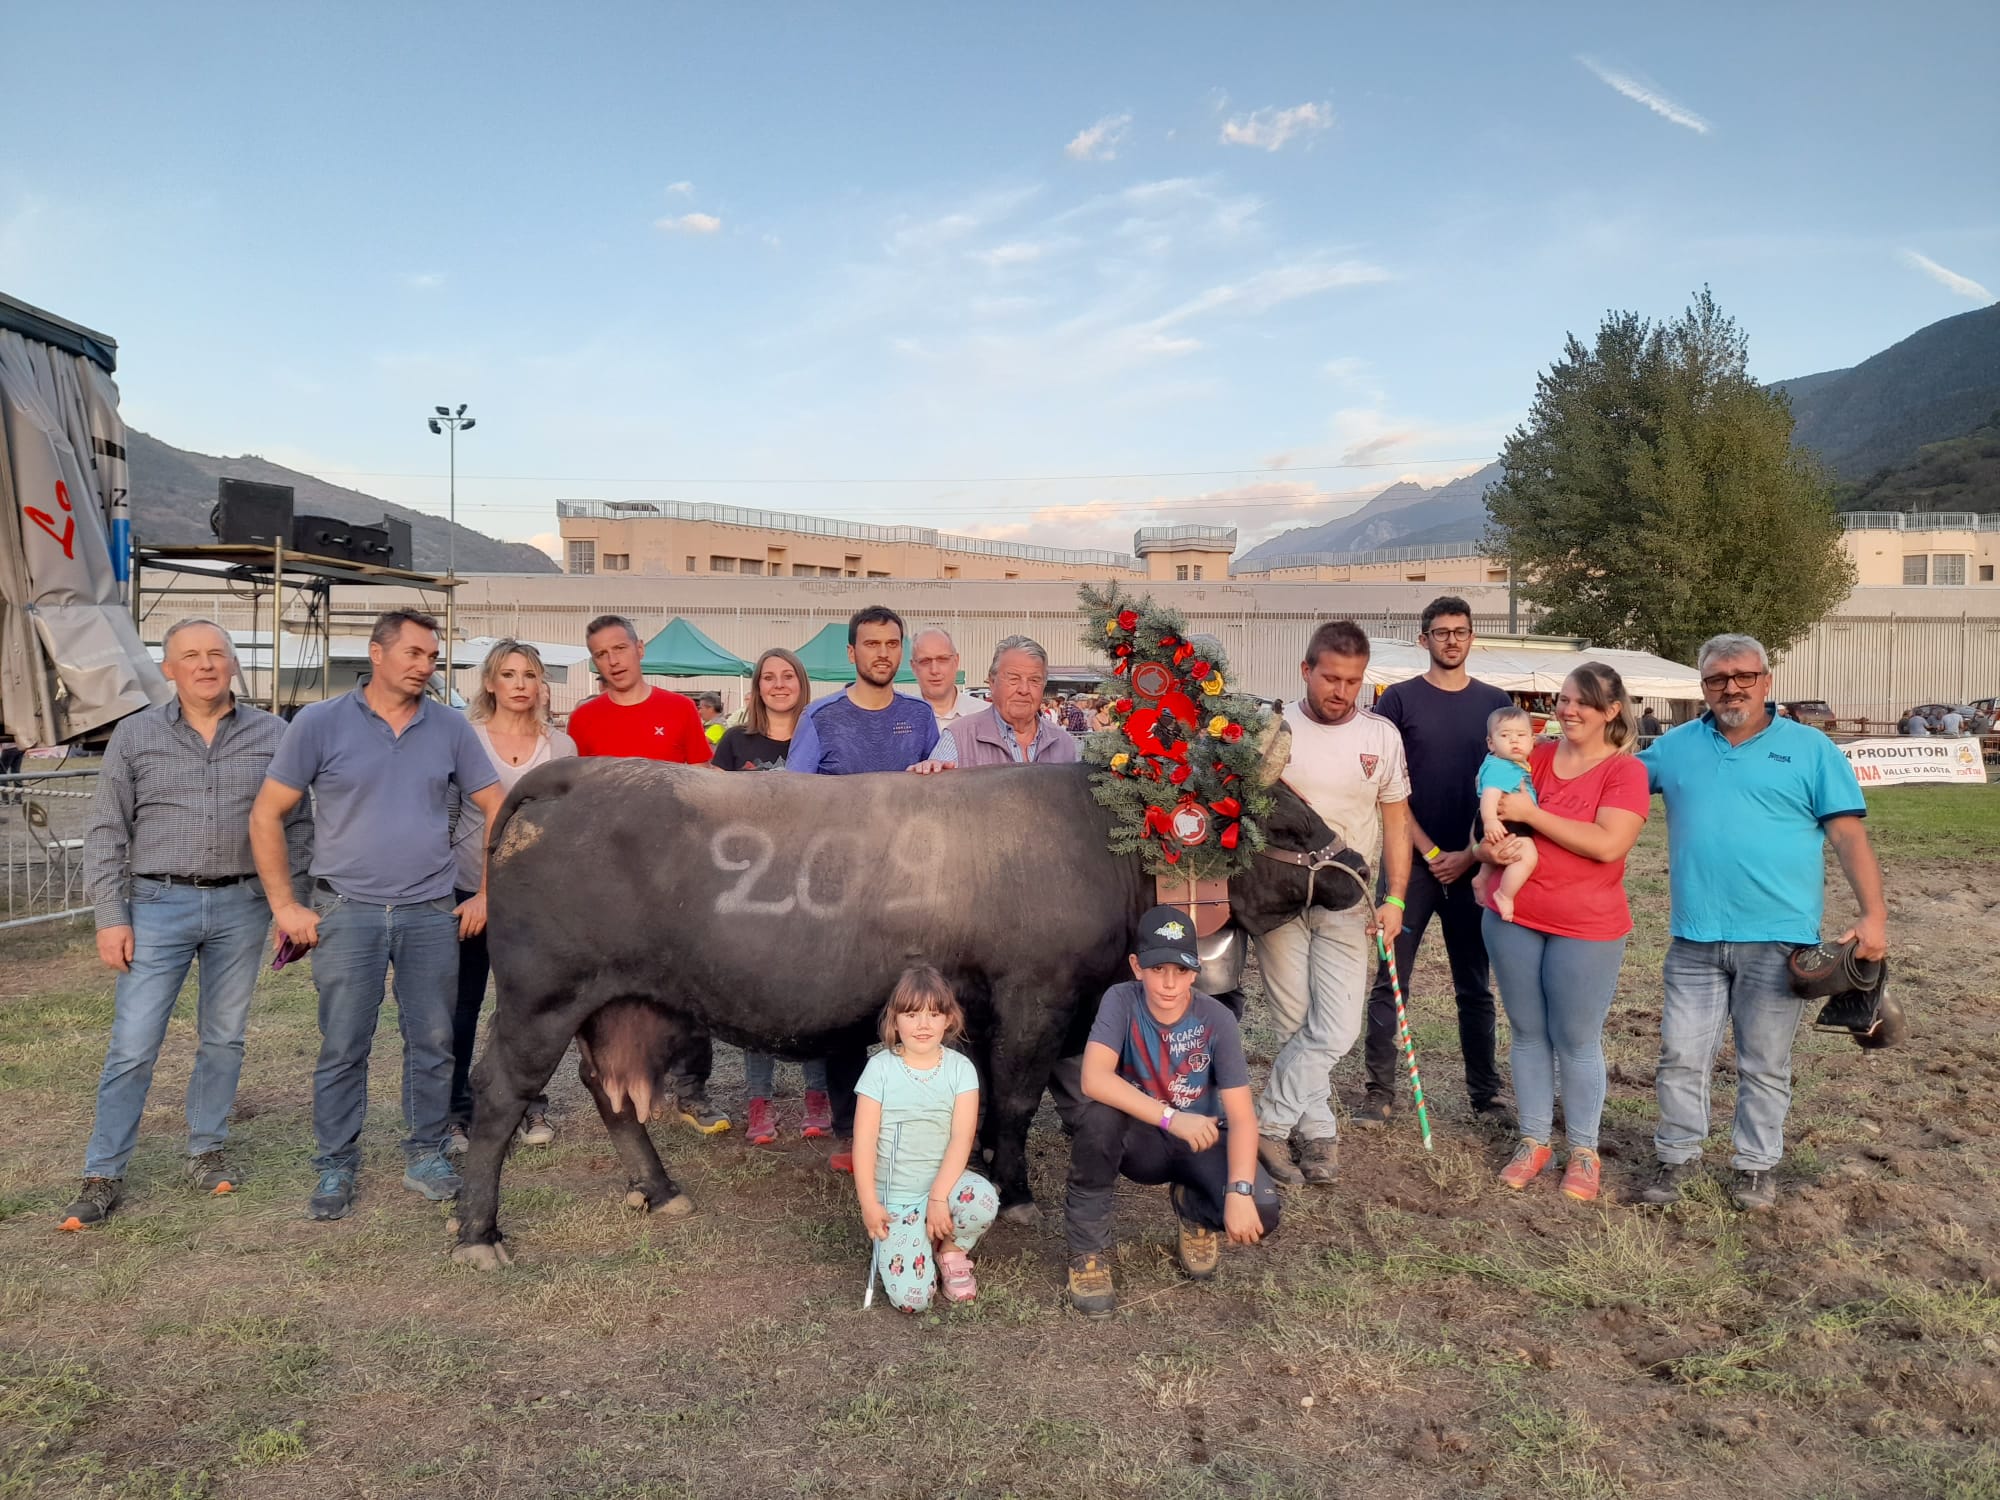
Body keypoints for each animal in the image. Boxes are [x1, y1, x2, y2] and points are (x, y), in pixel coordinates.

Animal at [446, 764, 1368, 1272]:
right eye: (1286, 821)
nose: (1358, 862)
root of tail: (576, 770)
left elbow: (1013, 1097)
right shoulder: (1034, 994)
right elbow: (1016, 1099)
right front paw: (1015, 1190)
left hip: (622, 1005)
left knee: (614, 1094)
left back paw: (660, 1188)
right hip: (540, 997)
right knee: (496, 1096)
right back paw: (478, 1231)